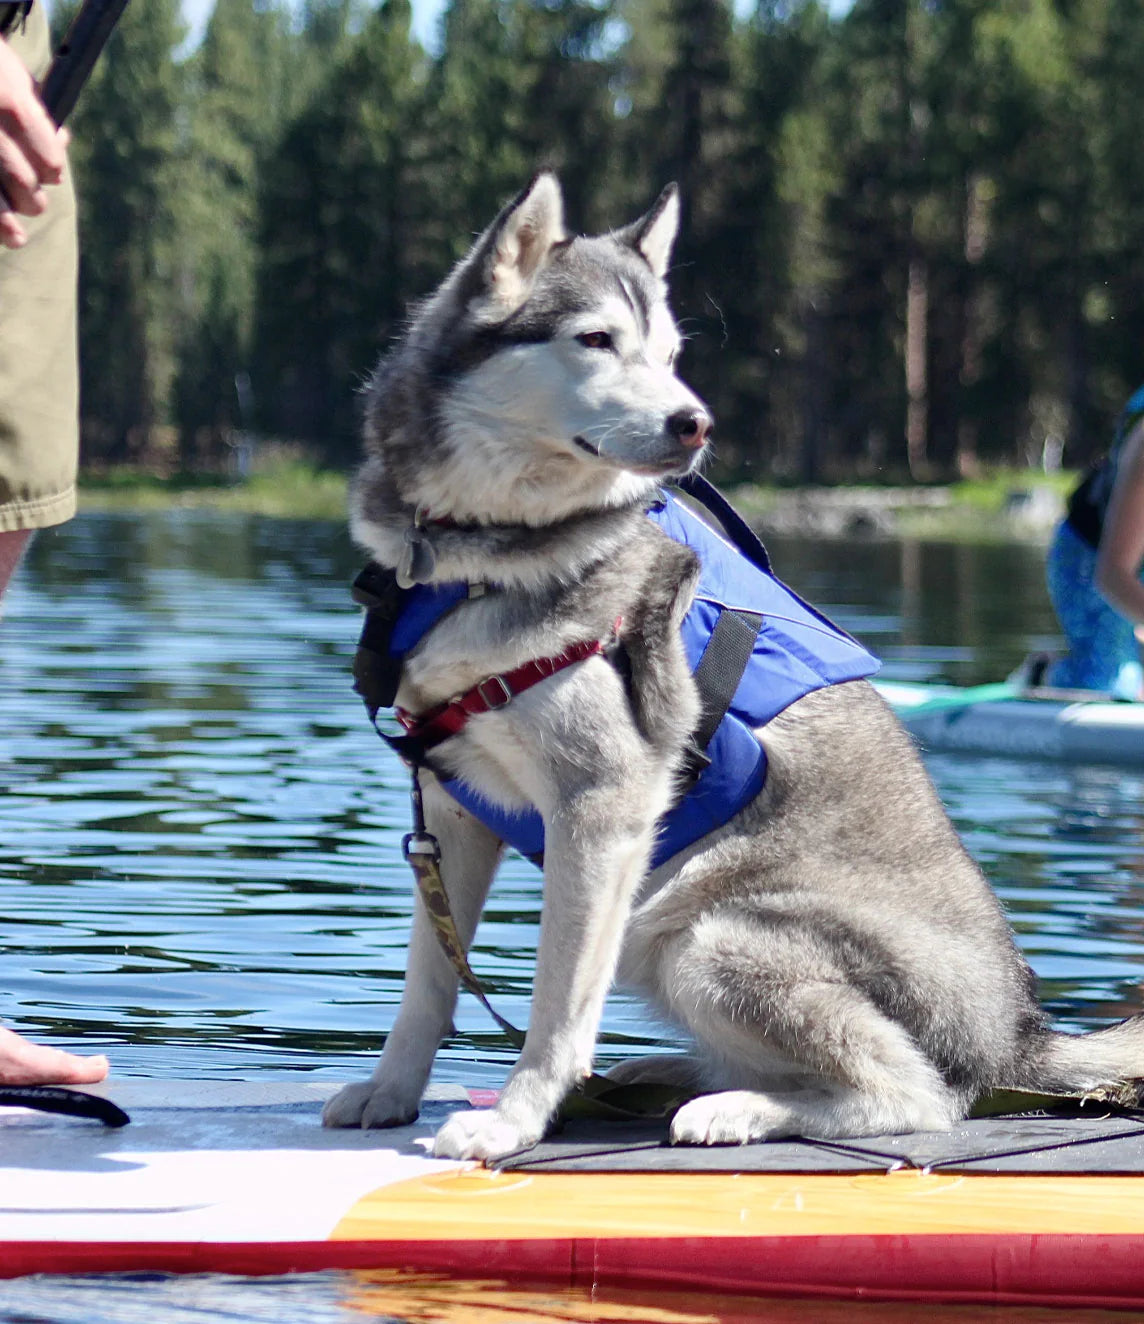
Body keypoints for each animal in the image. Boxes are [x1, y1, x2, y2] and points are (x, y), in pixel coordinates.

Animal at [319, 176, 1144, 1159]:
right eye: (595, 339)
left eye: (671, 353)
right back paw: (669, 1074)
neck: (473, 553)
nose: (696, 422)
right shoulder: (451, 804)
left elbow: (559, 1002)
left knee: (916, 1095)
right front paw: (390, 1090)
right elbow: (430, 983)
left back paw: (733, 1108)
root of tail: (1018, 1033)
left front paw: (516, 1118)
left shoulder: (604, 806)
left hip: (703, 934)